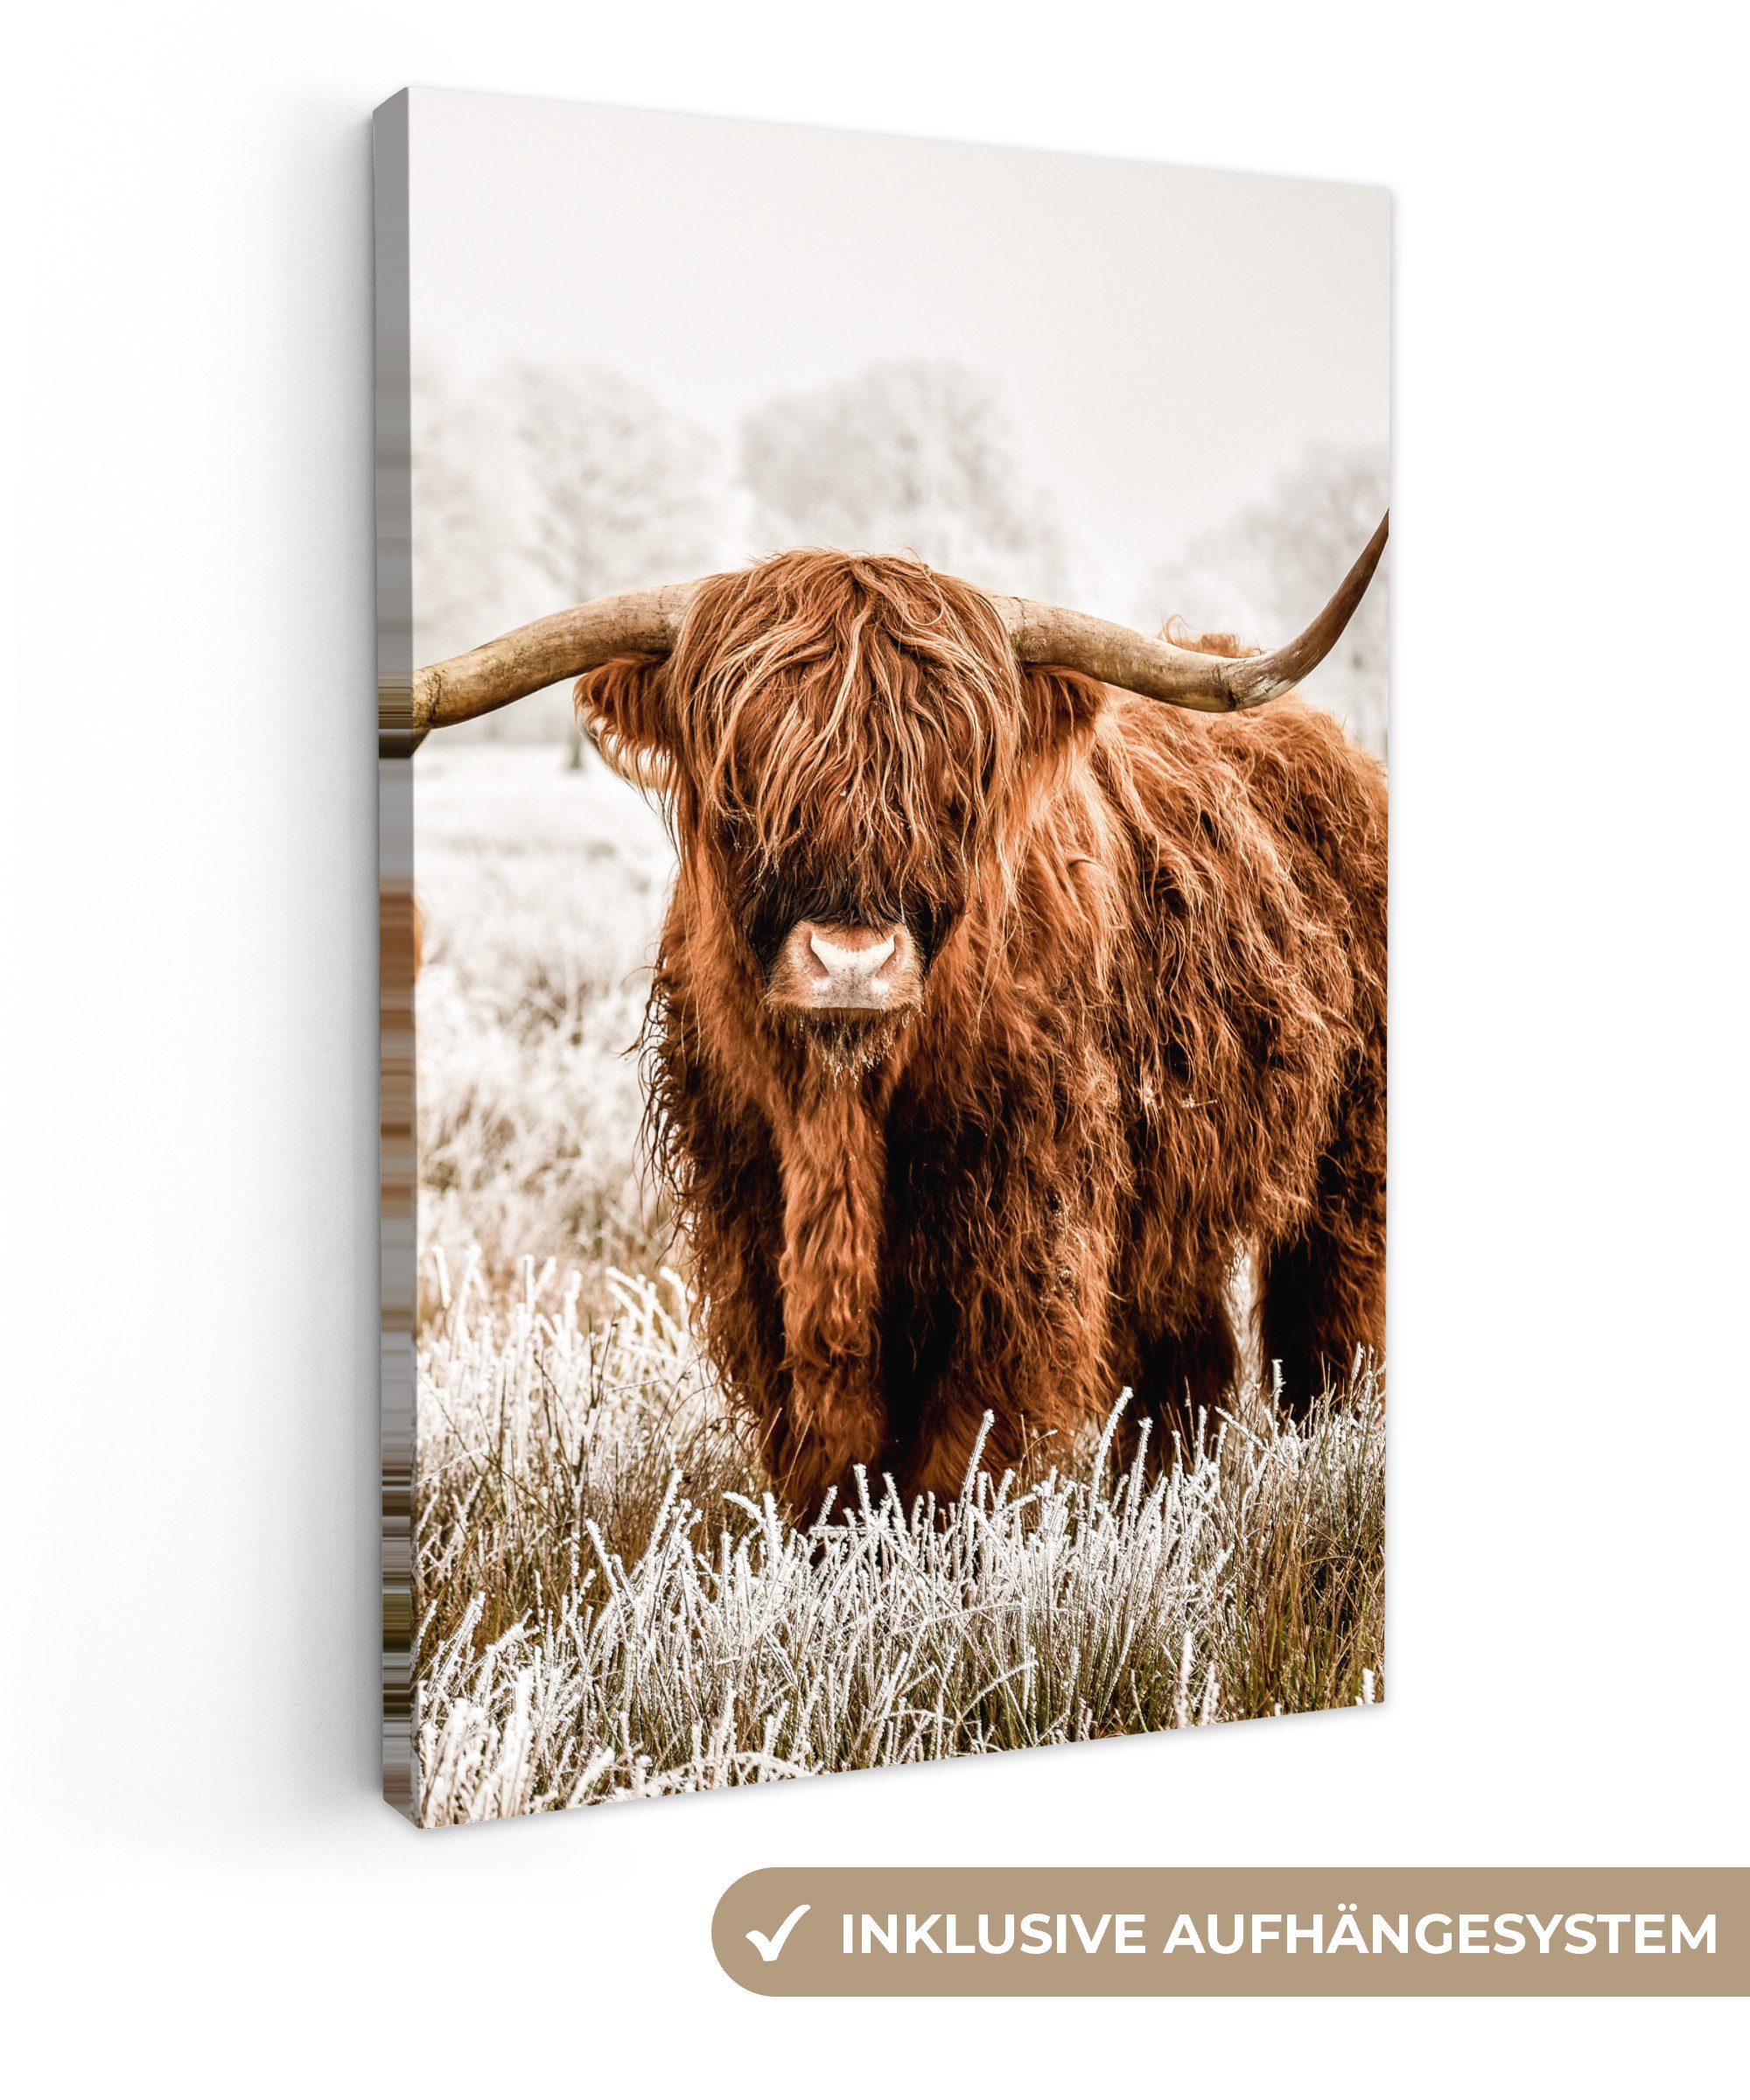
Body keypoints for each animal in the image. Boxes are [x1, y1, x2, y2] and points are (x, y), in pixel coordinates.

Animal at [410, 517, 1388, 1518]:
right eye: (741, 783)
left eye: (956, 786)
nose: (852, 963)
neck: (842, 1111)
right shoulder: (749, 1221)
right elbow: (822, 1441)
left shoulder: (1020, 1229)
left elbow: (966, 1442)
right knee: (1185, 1356)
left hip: (1350, 1158)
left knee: (1327, 1327)